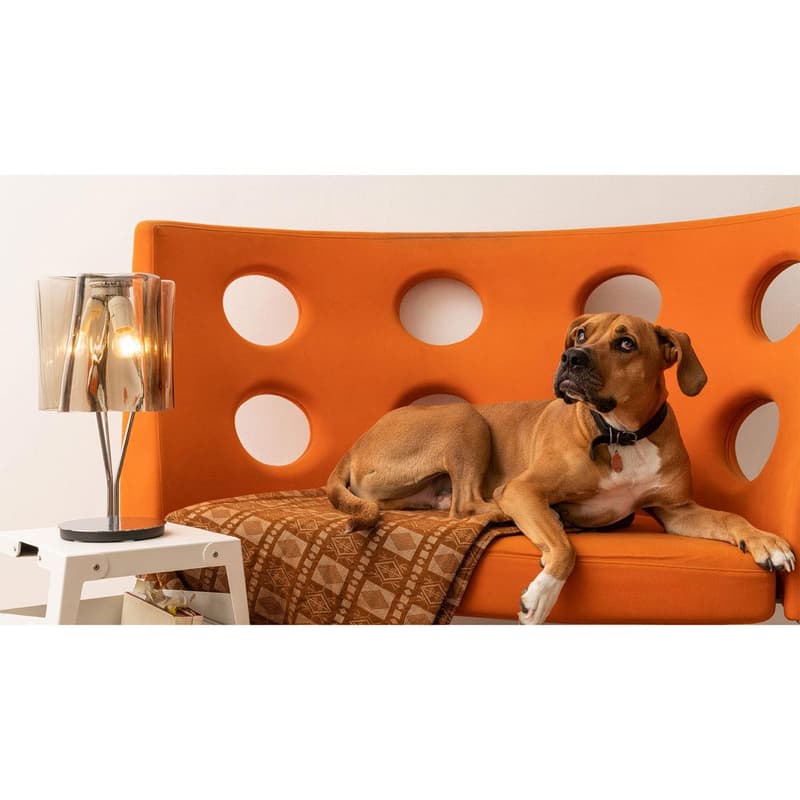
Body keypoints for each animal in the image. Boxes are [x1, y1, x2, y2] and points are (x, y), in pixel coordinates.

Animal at [326, 312, 796, 623]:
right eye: (582, 334)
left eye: (626, 344)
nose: (572, 356)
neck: (620, 434)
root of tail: (355, 445)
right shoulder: (525, 489)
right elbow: (564, 551)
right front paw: (542, 594)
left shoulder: (678, 511)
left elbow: (731, 517)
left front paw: (765, 541)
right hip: (467, 418)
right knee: (468, 505)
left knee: (454, 503)